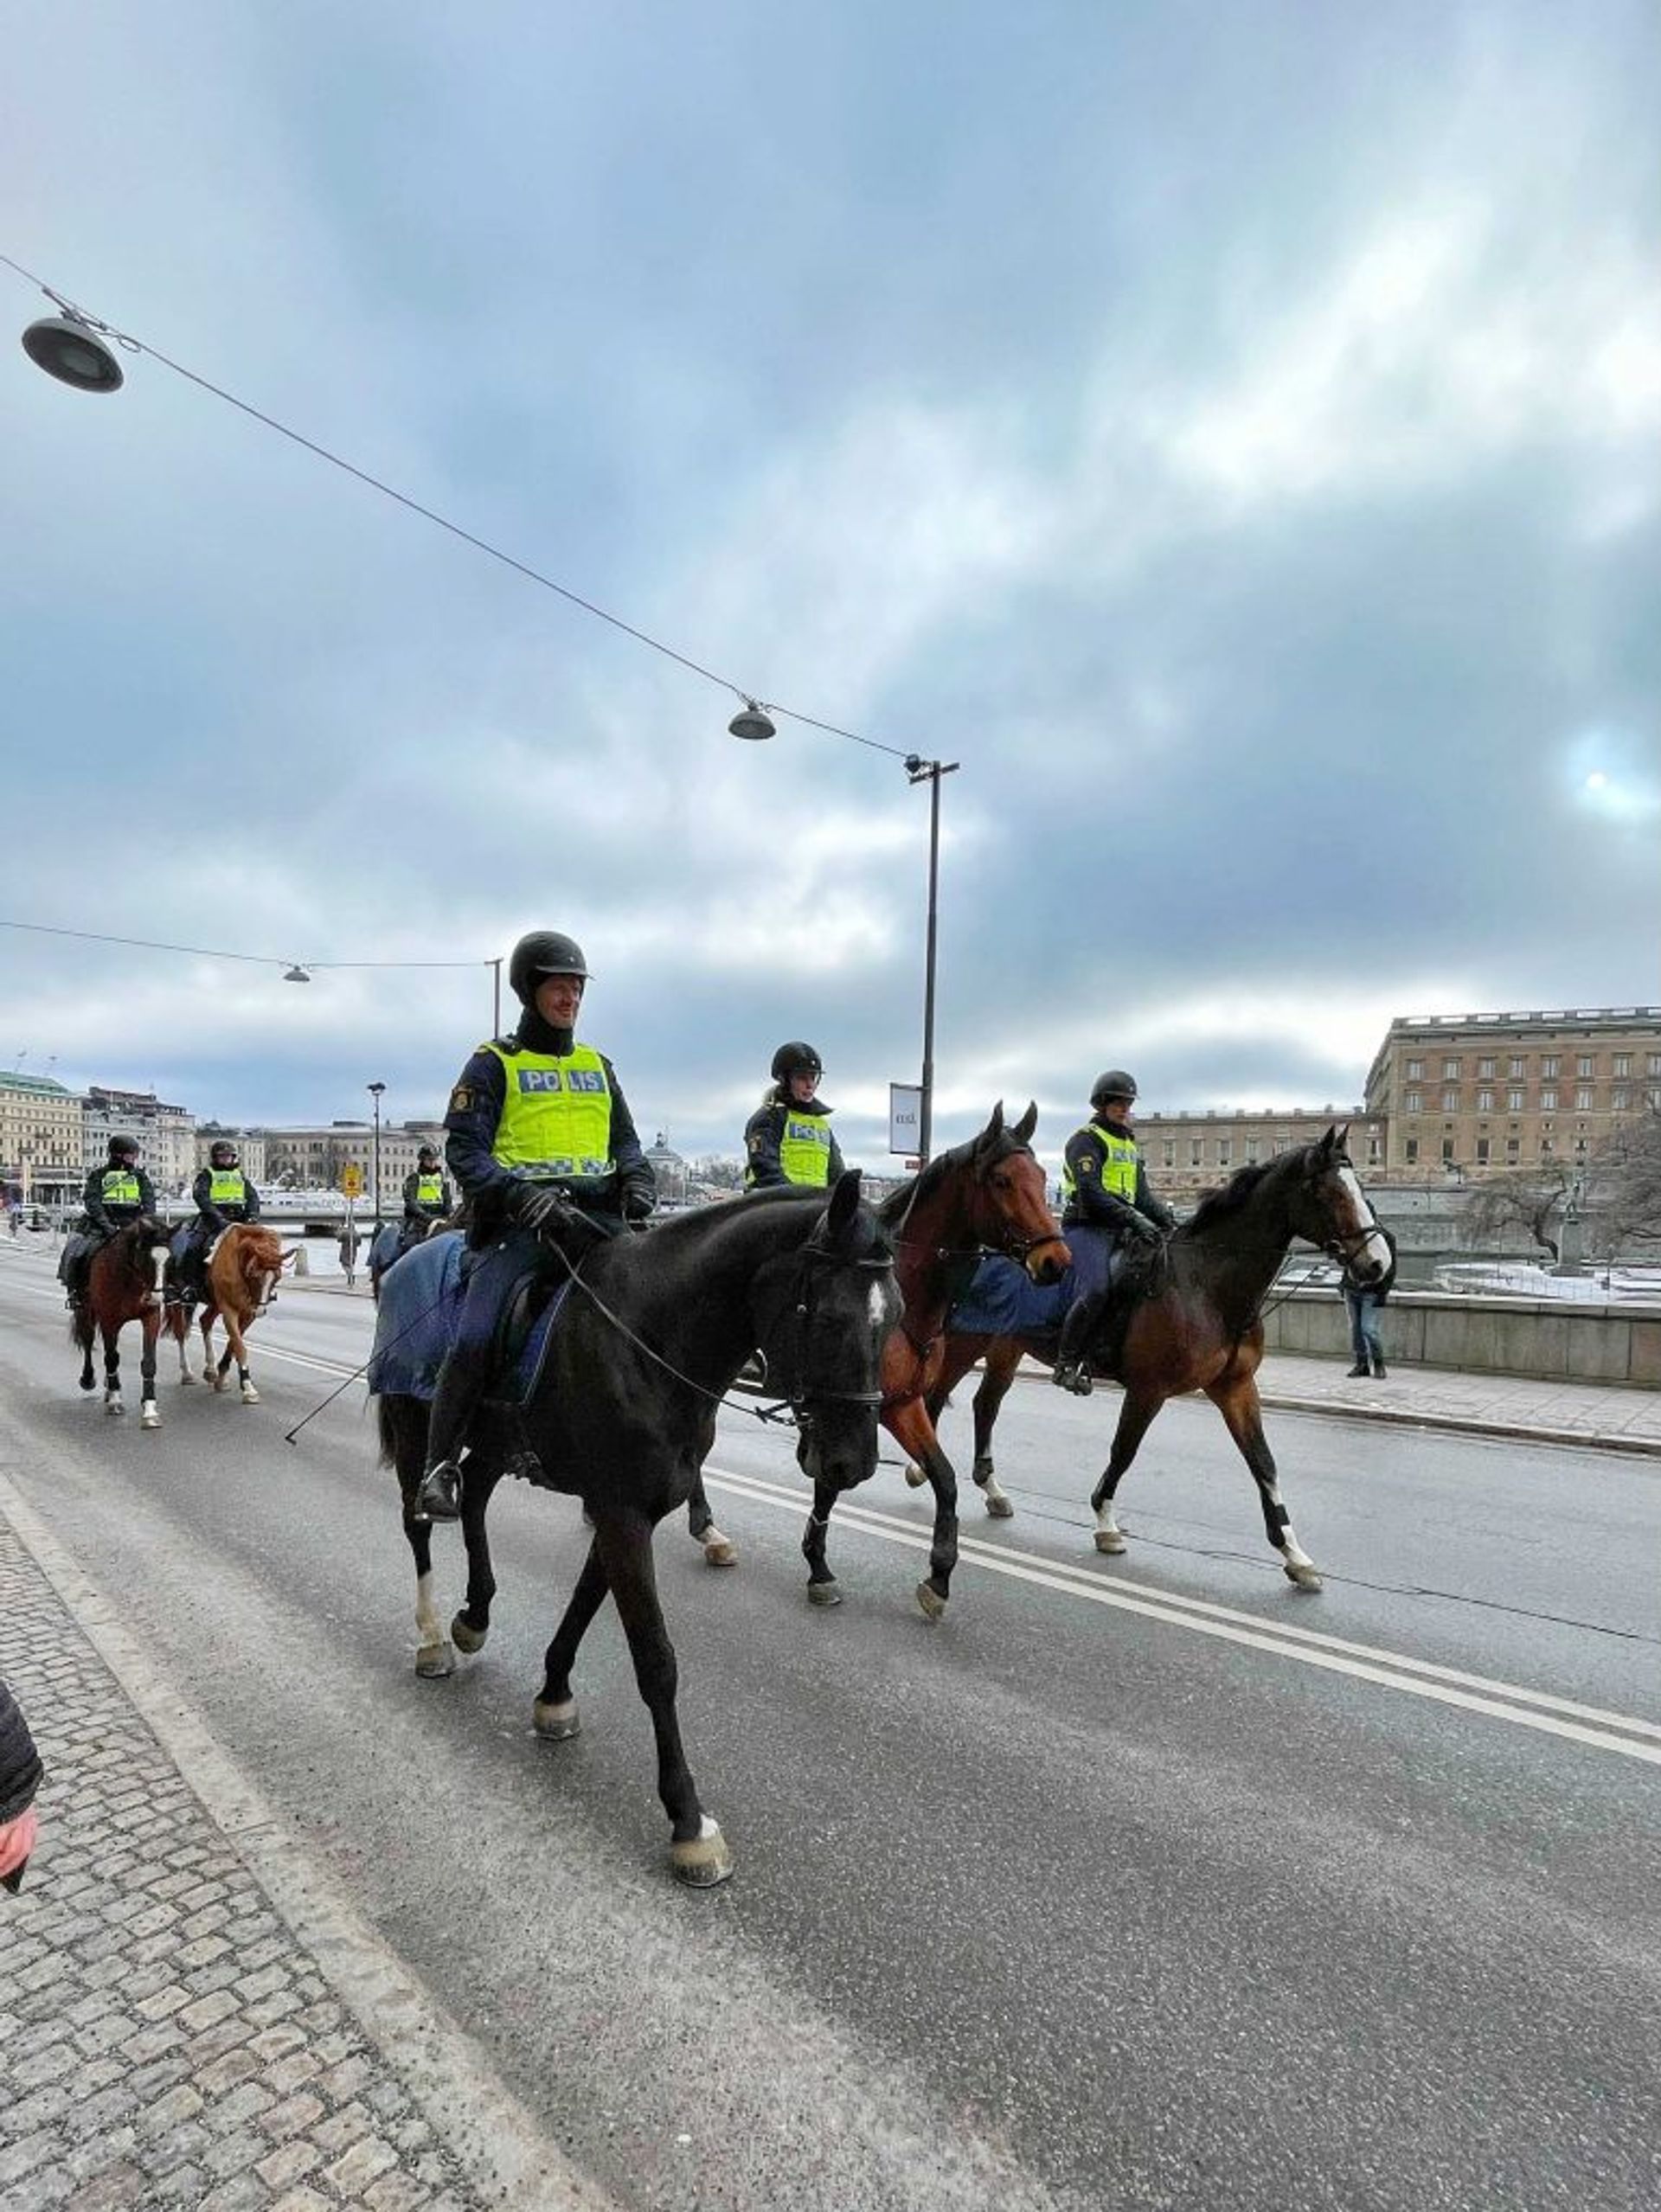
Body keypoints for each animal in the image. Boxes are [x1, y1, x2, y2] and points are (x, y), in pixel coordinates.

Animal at [68, 1221, 173, 1424]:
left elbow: (149, 1362)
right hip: (85, 1312)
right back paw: (90, 1380)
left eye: (169, 1258)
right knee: (88, 1342)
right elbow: (111, 1358)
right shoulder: (109, 1320)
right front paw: (115, 1400)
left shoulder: (151, 1318)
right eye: (146, 1258)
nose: (157, 1298)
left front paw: (150, 1408)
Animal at [167, 1229, 298, 1398]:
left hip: (215, 1304)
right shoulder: (229, 1310)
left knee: (205, 1321)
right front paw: (248, 1387)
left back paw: (210, 1369)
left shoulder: (248, 1314)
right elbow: (240, 1346)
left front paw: (222, 1379)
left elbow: (234, 1342)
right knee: (181, 1333)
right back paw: (187, 1373)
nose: (261, 1310)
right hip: (177, 1300)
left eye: (276, 1277)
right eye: (255, 1275)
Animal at [374, 1177, 897, 1884]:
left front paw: (554, 1694)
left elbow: (583, 1604)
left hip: (492, 1446)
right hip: (413, 1424)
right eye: (832, 1317)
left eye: (895, 1317)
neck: (651, 1335)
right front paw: (688, 1819)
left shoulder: (627, 1511)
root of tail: (408, 1257)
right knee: (419, 1521)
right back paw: (432, 1635)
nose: (853, 1463)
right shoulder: (622, 1515)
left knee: (475, 1500)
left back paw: (474, 1615)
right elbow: (655, 1660)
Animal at [937, 1123, 1388, 1593]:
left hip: (1005, 1348)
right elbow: (1124, 1450)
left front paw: (1293, 1552)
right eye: (1330, 1192)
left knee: (986, 1404)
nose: (1378, 1264)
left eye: (1362, 1188)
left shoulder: (1236, 1388)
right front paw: (1105, 1521)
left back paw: (991, 1488)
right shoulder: (1148, 1389)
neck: (1206, 1284)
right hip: (962, 1343)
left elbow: (1263, 1463)